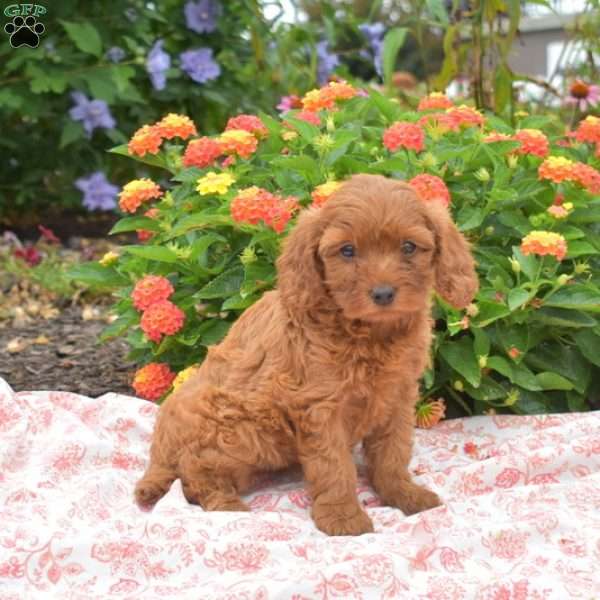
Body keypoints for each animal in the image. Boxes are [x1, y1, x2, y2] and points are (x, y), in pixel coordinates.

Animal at [136, 172, 478, 536]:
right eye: (347, 250)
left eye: (409, 247)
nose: (383, 294)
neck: (369, 333)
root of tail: (159, 448)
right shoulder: (320, 407)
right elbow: (334, 466)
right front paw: (343, 518)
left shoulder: (397, 397)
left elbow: (393, 452)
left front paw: (404, 494)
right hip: (242, 428)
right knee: (193, 470)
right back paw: (227, 506)